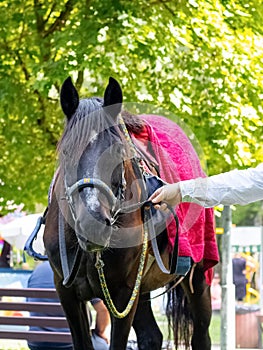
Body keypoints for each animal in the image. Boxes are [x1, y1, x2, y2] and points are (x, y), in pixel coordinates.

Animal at [43, 76, 212, 350]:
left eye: (116, 151)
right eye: (67, 152)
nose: (93, 224)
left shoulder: (123, 294)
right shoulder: (66, 293)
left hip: (198, 278)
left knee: (200, 336)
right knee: (151, 336)